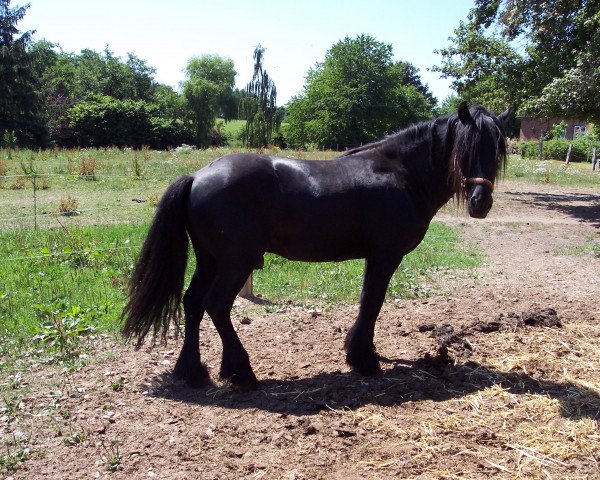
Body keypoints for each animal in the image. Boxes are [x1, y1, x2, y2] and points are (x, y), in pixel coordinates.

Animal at [124, 103, 508, 388]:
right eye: (465, 148)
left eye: (497, 150)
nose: (480, 202)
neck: (401, 173)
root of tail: (198, 176)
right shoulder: (385, 255)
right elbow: (372, 303)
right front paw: (363, 359)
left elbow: (368, 302)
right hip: (236, 262)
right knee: (216, 305)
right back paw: (242, 372)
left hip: (210, 260)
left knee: (192, 304)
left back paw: (193, 372)